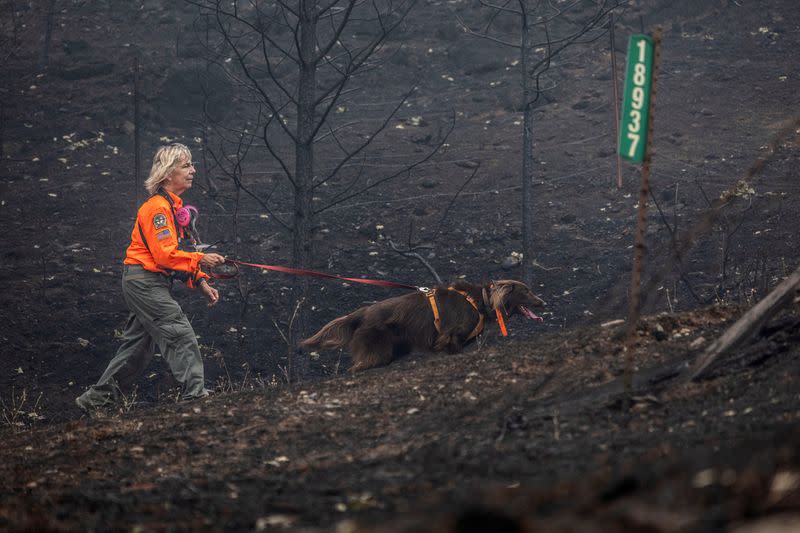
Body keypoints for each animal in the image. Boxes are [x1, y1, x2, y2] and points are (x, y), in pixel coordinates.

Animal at [304, 278, 548, 370]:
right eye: (526, 291)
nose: (543, 302)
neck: (481, 302)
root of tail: (361, 313)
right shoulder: (451, 338)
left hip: (395, 350)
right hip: (377, 351)